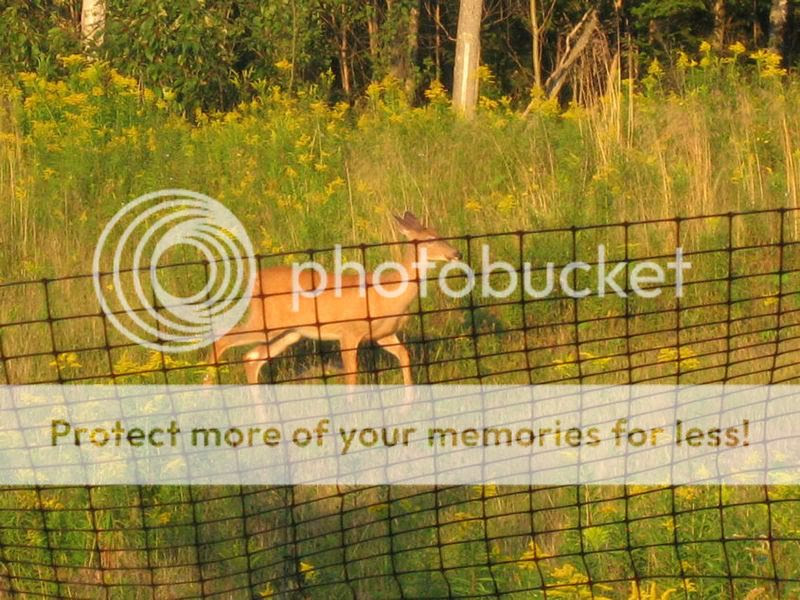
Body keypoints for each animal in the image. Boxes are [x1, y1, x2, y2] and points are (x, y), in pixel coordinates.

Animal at [204, 212, 461, 388]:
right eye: (428, 240)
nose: (456, 253)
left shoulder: (383, 334)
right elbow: (351, 376)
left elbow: (405, 356)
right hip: (265, 322)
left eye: (440, 234)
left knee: (251, 357)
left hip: (289, 331)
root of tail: (254, 281)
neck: (388, 293)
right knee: (222, 340)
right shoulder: (349, 332)